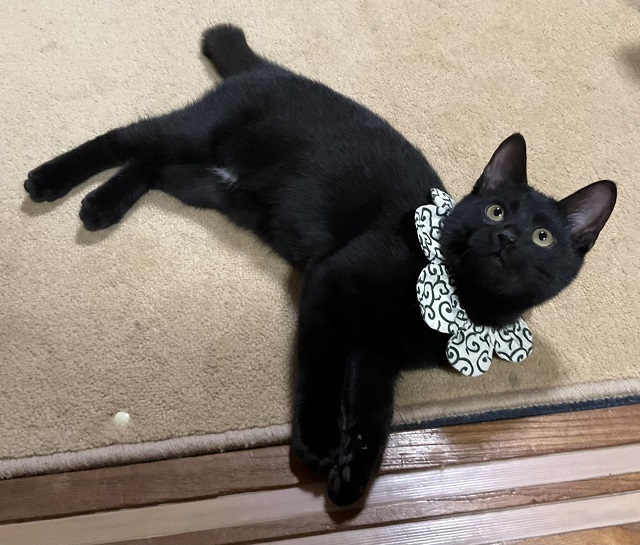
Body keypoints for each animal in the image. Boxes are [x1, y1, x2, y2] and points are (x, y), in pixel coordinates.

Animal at [24, 24, 617, 506]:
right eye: (496, 210)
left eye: (543, 237)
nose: (507, 236)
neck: (461, 300)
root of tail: (272, 70)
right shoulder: (331, 285)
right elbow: (323, 365)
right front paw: (319, 441)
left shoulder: (379, 355)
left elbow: (375, 411)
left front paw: (354, 476)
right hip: (199, 135)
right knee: (128, 136)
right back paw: (53, 181)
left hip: (206, 183)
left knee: (151, 164)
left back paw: (105, 203)